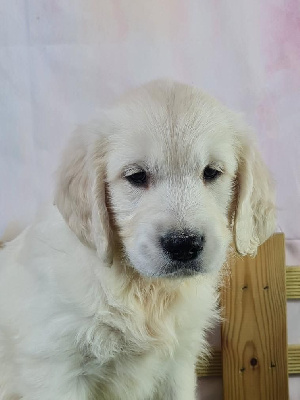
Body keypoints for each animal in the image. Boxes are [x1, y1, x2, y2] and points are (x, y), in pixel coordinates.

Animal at [0, 79, 274, 398]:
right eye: (136, 176)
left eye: (211, 172)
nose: (184, 244)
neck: (141, 290)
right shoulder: (56, 367)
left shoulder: (178, 366)